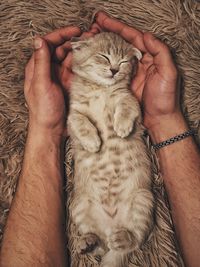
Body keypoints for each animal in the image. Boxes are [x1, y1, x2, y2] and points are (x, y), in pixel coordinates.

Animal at [68, 32, 154, 266]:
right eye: (104, 57)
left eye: (123, 62)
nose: (114, 70)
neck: (101, 89)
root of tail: (111, 227)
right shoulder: (72, 113)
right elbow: (80, 120)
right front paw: (92, 142)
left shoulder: (129, 99)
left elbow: (126, 106)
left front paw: (122, 127)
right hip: (79, 205)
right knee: (100, 245)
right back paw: (87, 242)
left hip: (143, 201)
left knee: (133, 241)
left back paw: (122, 238)